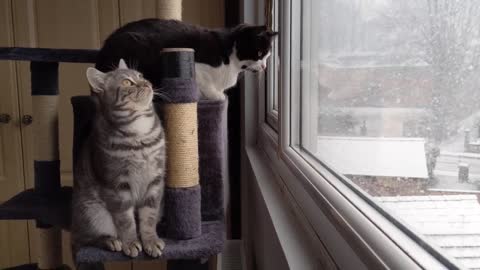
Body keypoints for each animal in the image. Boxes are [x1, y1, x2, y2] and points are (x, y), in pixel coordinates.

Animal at [71, 59, 167, 258]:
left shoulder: (155, 181)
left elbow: (149, 218)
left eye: (141, 75)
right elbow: (126, 221)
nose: (147, 83)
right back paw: (112, 241)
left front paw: (150, 241)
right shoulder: (118, 186)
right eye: (127, 82)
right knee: (84, 239)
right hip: (93, 213)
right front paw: (130, 243)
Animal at [94, 18, 278, 100]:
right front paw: (218, 96)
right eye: (260, 53)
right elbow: (209, 88)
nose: (264, 67)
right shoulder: (197, 66)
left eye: (268, 56)